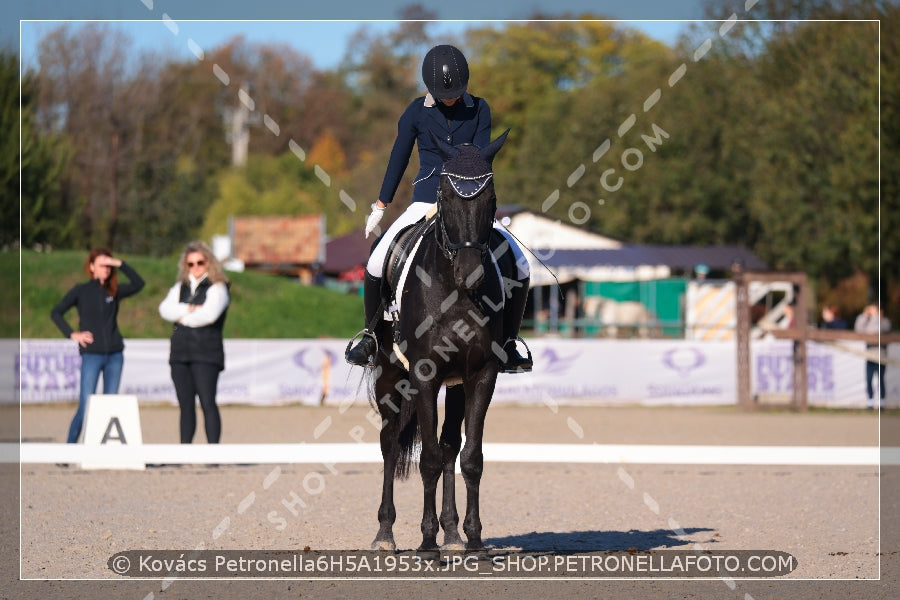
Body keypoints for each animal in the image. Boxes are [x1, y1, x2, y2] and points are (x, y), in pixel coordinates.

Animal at [370, 129, 512, 552]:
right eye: (446, 197)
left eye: (491, 199)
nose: (471, 275)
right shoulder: (424, 372)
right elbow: (427, 459)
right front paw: (427, 544)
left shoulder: (481, 373)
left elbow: (471, 457)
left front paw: (474, 541)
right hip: (389, 374)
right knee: (389, 441)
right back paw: (385, 534)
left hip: (456, 383)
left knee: (450, 444)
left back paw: (452, 534)